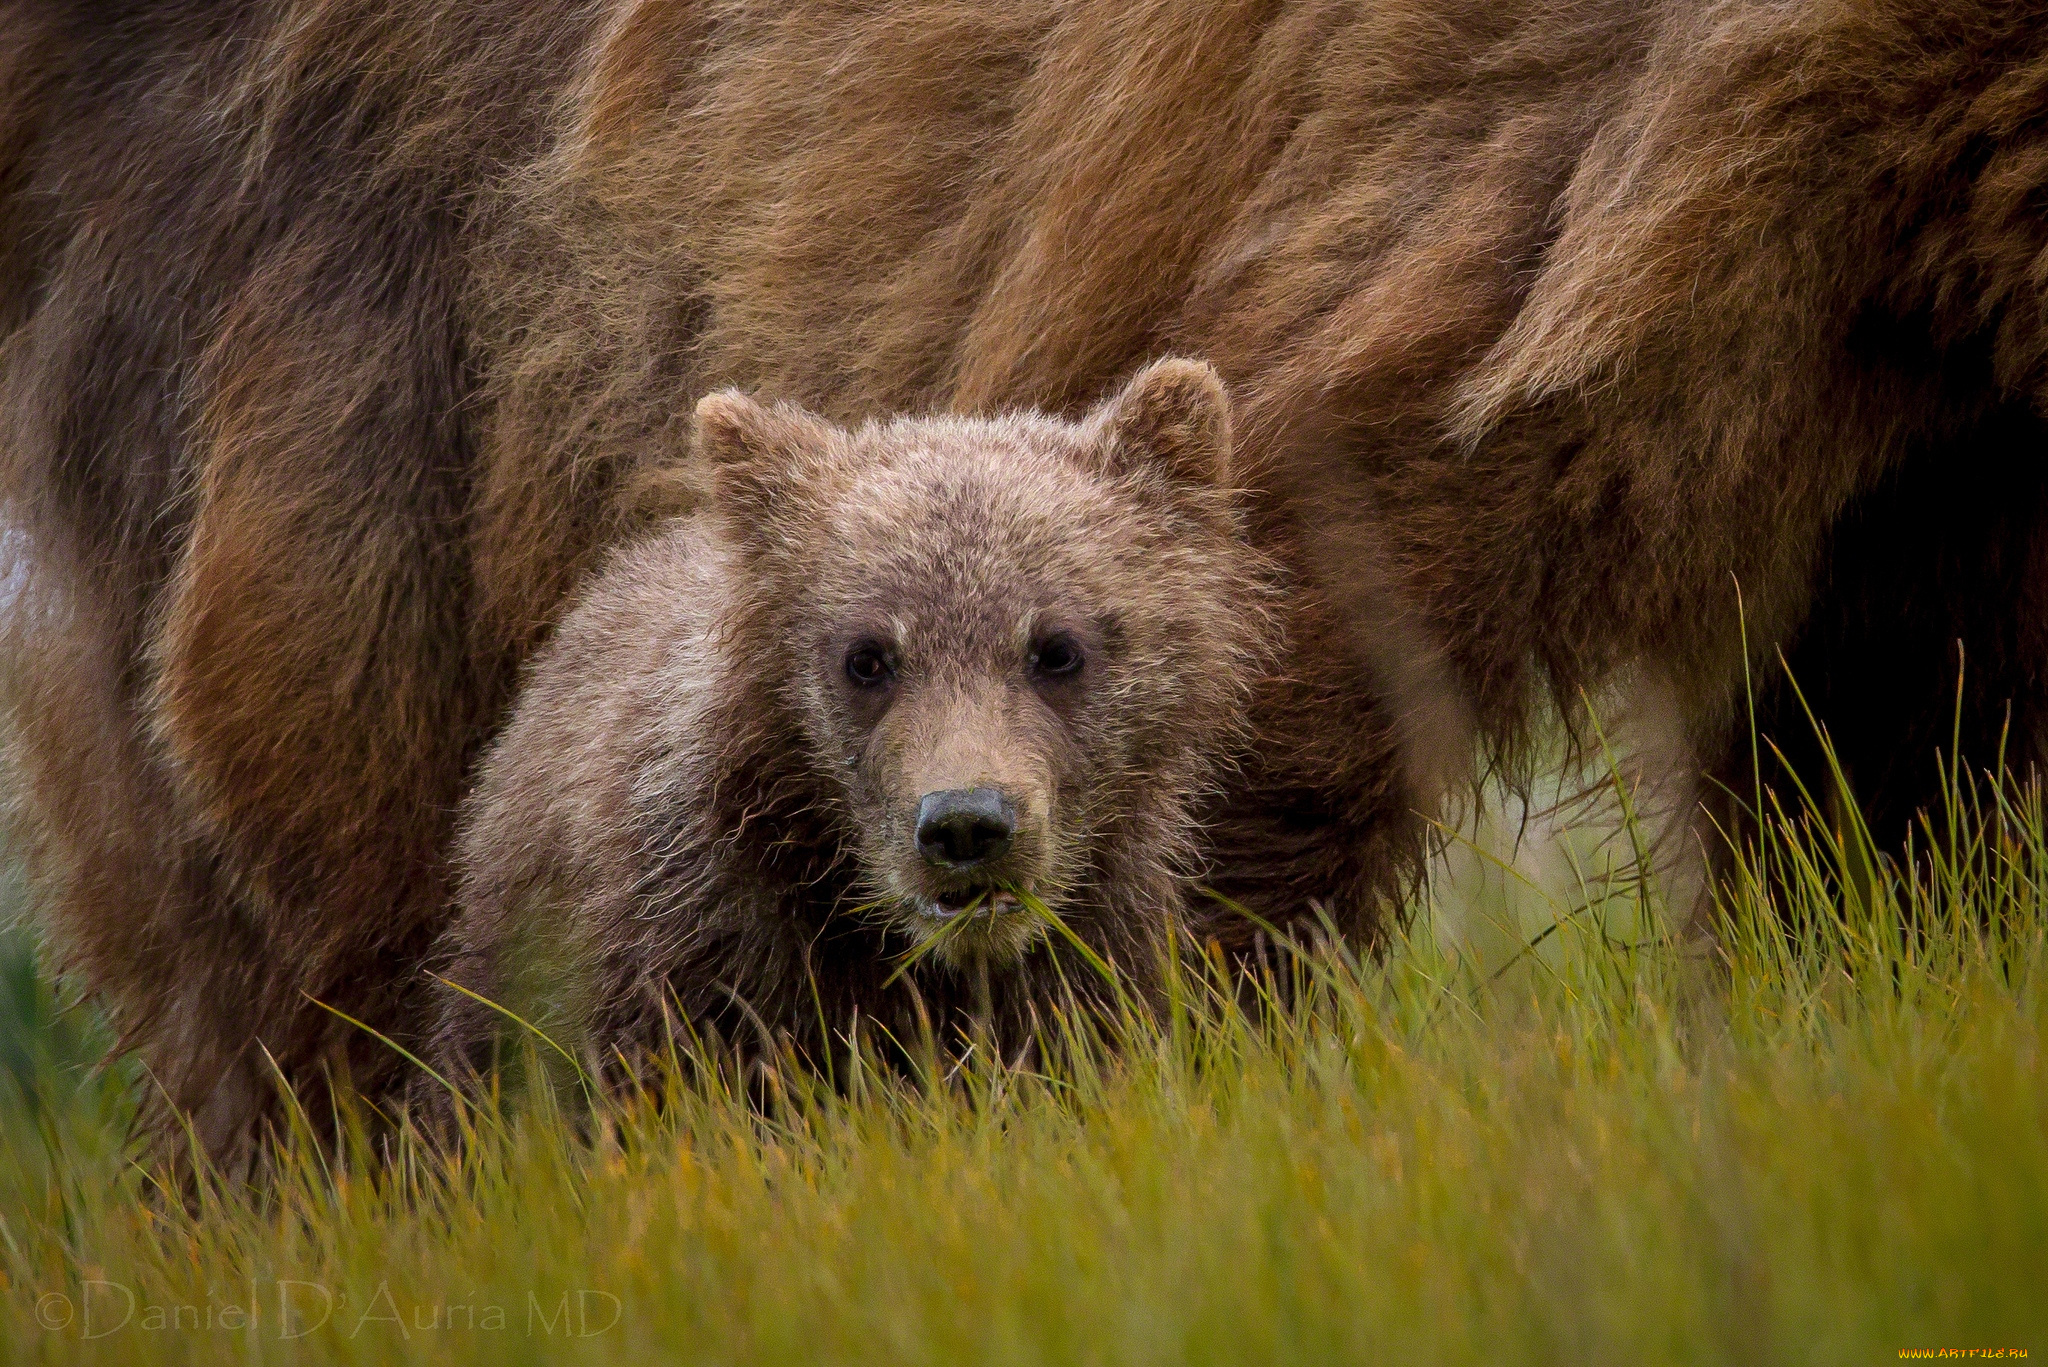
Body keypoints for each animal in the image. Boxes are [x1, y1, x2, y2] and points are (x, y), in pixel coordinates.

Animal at [12, 0, 2048, 1164]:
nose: (969, 829)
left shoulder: (1897, 378)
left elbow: (1902, 726)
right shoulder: (1498, 182)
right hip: (362, 300)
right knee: (304, 826)